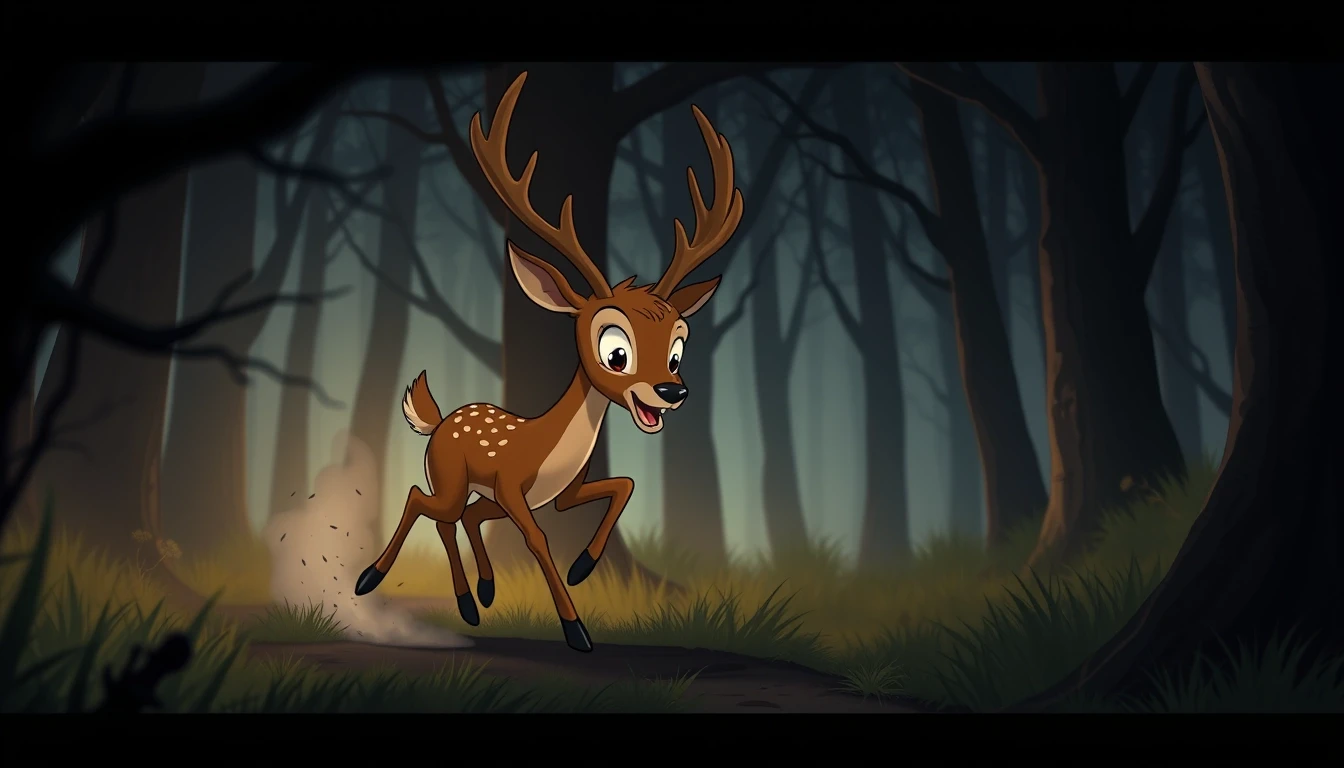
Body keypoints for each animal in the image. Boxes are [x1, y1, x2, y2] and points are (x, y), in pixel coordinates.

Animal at [353, 70, 744, 653]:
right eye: (615, 350)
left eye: (677, 350)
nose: (672, 392)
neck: (548, 450)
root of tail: (439, 420)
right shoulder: (515, 490)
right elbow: (537, 538)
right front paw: (575, 628)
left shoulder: (562, 493)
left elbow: (623, 487)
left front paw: (584, 566)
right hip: (449, 477)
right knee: (422, 500)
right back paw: (372, 577)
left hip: (476, 493)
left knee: (459, 517)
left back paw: (478, 596)